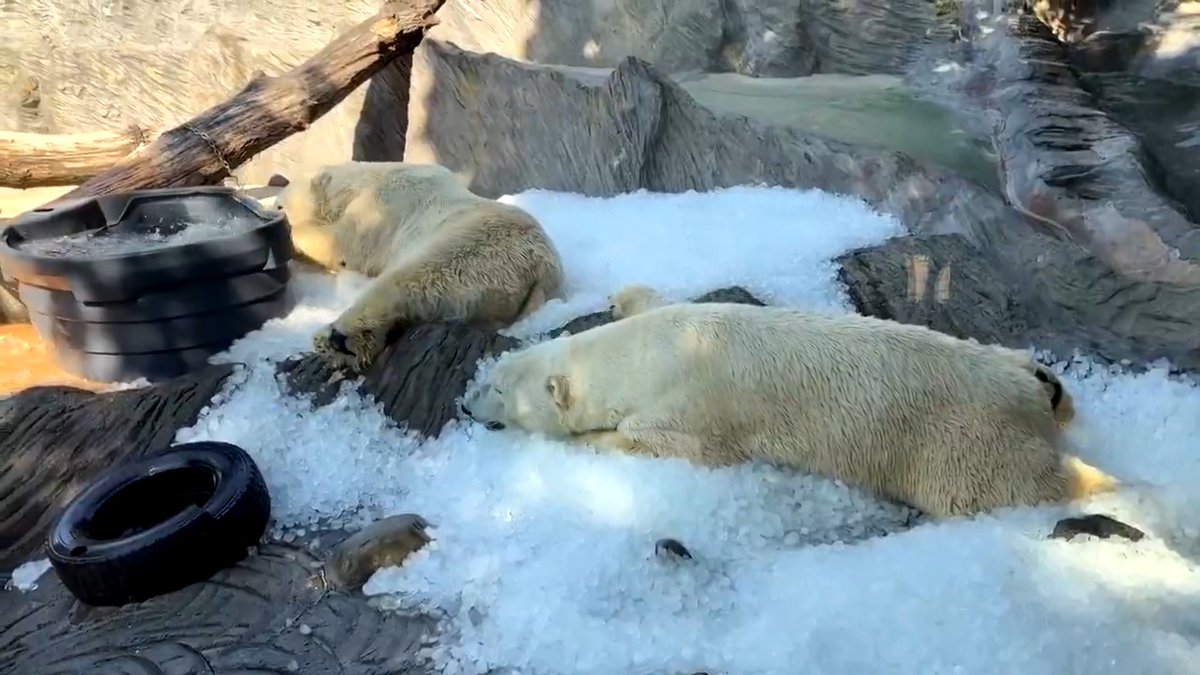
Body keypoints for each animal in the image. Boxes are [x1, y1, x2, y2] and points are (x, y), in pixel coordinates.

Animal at [276, 161, 565, 371]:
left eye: (280, 204)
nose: (276, 205)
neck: (368, 178)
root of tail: (542, 271)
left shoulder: (381, 207)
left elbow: (342, 245)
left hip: (471, 249)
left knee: (405, 282)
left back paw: (333, 337)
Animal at [459, 301, 1117, 519]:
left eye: (498, 390)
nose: (464, 406)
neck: (652, 349)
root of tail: (1026, 395)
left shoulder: (691, 403)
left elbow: (681, 446)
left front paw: (589, 441)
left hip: (960, 439)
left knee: (1004, 485)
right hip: (1010, 371)